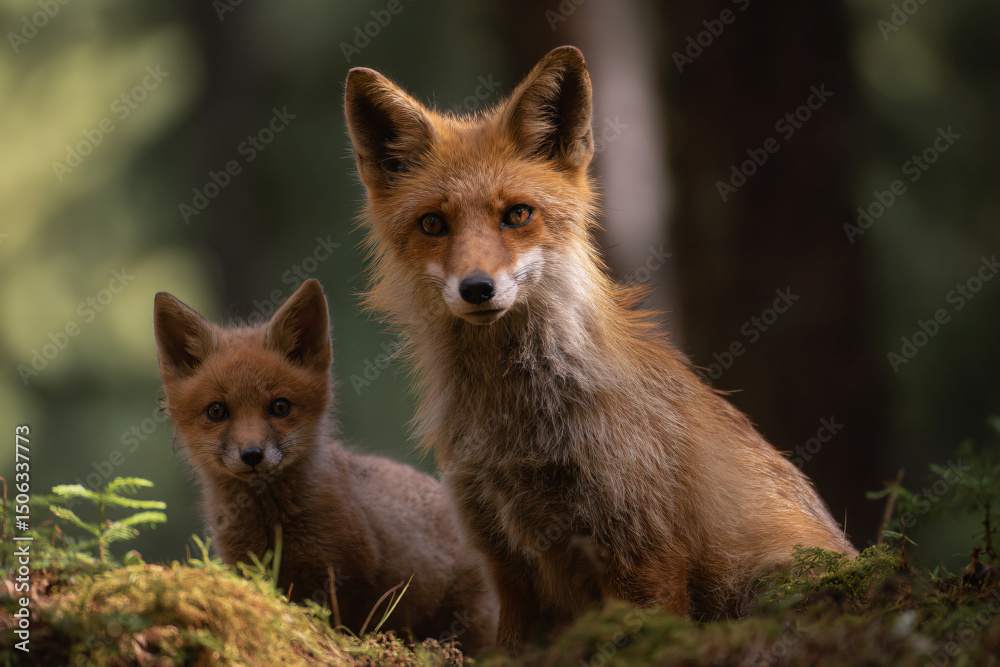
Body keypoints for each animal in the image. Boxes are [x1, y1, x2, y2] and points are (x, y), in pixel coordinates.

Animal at [152, 278, 497, 652]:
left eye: (280, 407)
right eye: (217, 411)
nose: (252, 454)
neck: (272, 524)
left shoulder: (347, 577)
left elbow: (341, 627)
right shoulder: (247, 568)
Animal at [343, 46, 857, 651]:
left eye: (517, 214)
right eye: (432, 224)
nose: (477, 288)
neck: (516, 429)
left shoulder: (644, 554)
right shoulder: (504, 561)